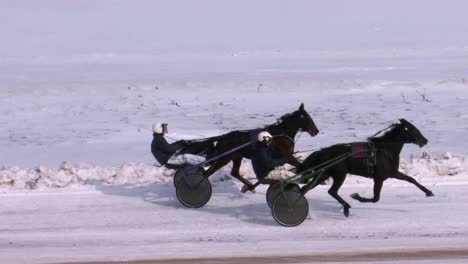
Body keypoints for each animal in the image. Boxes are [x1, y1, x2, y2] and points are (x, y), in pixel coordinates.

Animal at [178, 103, 318, 188]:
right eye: (306, 117)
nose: (316, 131)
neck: (280, 134)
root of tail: (222, 138)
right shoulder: (287, 157)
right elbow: (300, 165)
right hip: (224, 158)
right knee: (208, 173)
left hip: (236, 157)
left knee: (234, 172)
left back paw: (250, 186)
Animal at [298, 119, 434, 217]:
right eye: (413, 129)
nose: (425, 140)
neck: (385, 150)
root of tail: (322, 152)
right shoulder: (379, 178)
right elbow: (375, 198)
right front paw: (356, 196)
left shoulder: (392, 173)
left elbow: (411, 179)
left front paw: (429, 192)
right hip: (340, 174)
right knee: (332, 191)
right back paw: (346, 207)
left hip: (323, 174)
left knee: (305, 189)